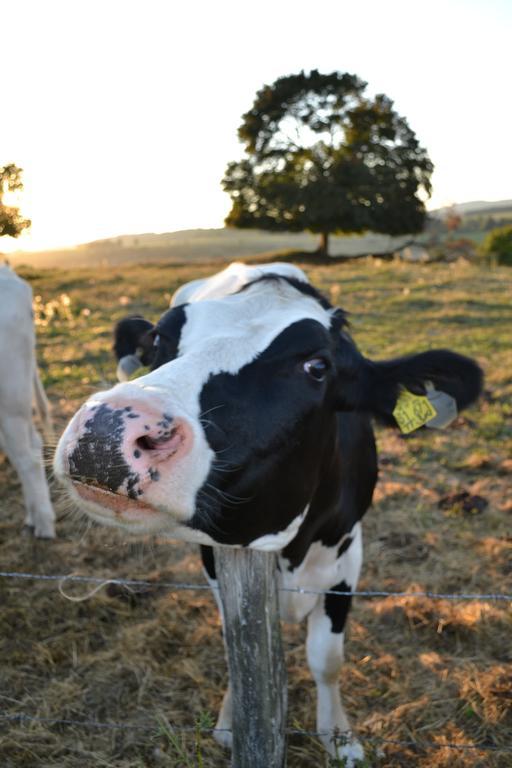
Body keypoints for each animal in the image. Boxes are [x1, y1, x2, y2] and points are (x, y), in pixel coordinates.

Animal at [54, 262, 482, 760]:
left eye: (317, 366)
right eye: (159, 338)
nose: (105, 431)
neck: (286, 545)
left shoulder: (347, 556)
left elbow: (326, 659)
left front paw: (340, 737)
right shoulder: (214, 553)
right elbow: (234, 639)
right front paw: (230, 721)